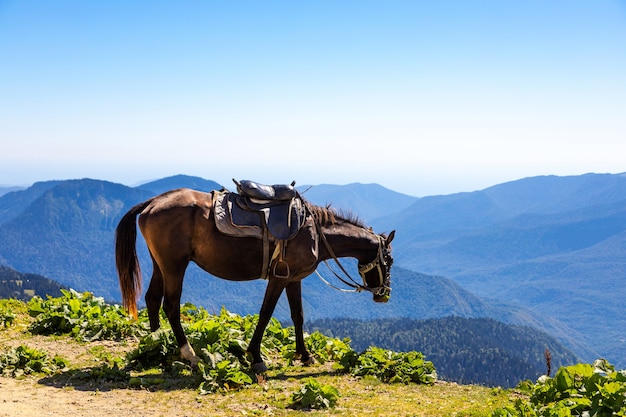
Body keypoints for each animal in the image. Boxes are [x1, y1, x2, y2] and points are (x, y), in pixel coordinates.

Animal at [114, 185, 392, 370]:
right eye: (388, 260)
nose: (384, 294)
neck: (315, 233)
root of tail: (152, 203)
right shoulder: (279, 278)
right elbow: (265, 314)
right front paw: (255, 356)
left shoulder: (294, 280)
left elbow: (298, 316)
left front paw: (305, 355)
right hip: (174, 267)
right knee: (171, 306)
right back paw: (189, 353)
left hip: (161, 264)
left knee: (152, 299)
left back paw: (157, 347)